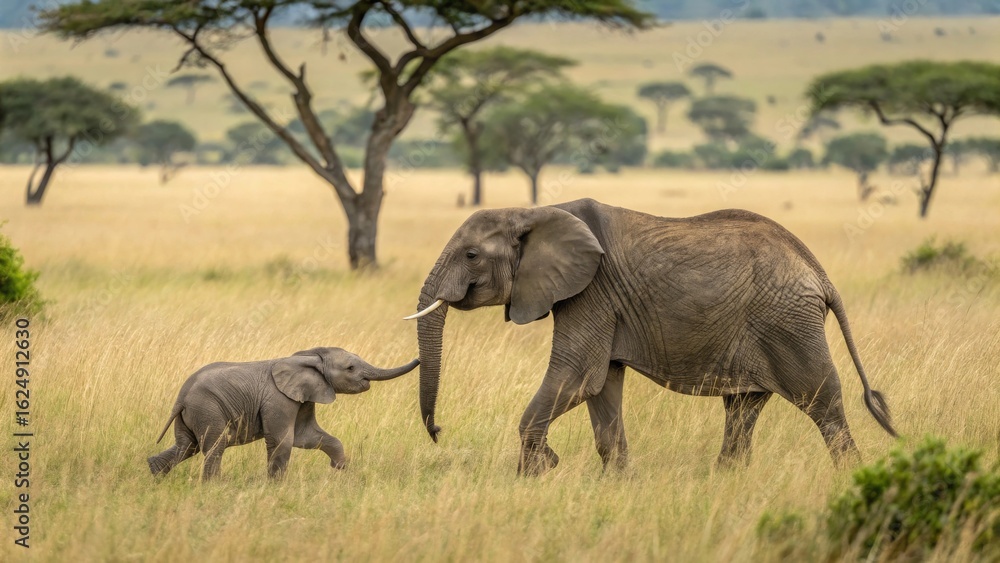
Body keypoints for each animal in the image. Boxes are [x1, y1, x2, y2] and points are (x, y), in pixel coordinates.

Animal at [148, 347, 418, 480]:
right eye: (350, 368)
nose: (419, 358)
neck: (310, 358)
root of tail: (181, 398)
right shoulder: (279, 399)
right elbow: (283, 440)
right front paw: (275, 486)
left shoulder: (304, 396)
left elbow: (307, 436)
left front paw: (340, 468)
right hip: (208, 408)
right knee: (214, 446)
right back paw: (213, 485)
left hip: (195, 412)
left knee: (187, 446)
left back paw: (155, 474)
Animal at [407, 198, 897, 475]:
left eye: (472, 255)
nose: (438, 431)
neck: (533, 210)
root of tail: (819, 272)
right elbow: (601, 384)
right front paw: (618, 482)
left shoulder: (592, 290)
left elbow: (578, 376)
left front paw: (537, 473)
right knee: (743, 407)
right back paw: (726, 480)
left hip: (788, 322)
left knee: (822, 401)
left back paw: (849, 476)